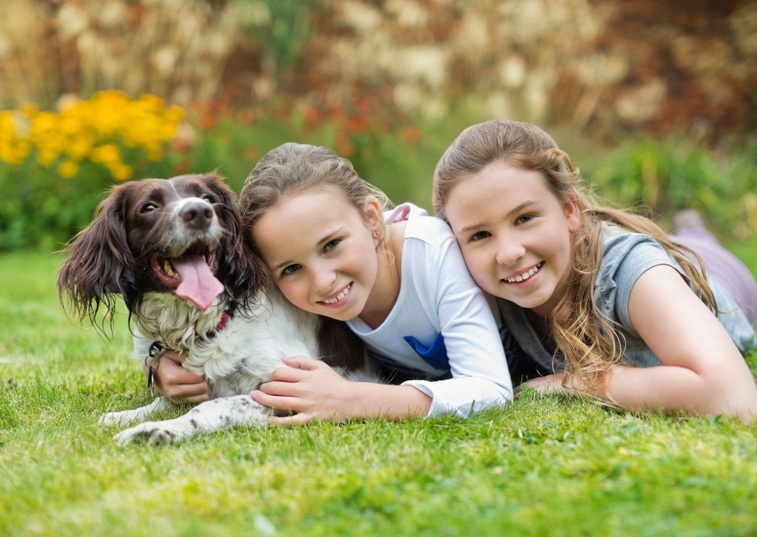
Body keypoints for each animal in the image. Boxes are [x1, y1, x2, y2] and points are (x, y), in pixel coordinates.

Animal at [57, 172, 368, 444]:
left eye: (207, 198)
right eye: (149, 207)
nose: (199, 212)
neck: (203, 326)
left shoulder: (290, 385)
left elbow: (210, 407)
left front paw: (155, 430)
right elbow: (164, 402)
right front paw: (126, 416)